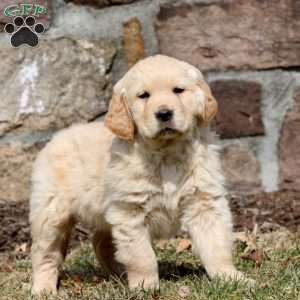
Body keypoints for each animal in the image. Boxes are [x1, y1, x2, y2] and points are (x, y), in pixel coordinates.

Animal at [29, 54, 246, 296]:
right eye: (144, 95)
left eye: (178, 90)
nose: (164, 113)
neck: (166, 153)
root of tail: (56, 137)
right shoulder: (130, 212)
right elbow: (142, 256)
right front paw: (145, 286)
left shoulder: (204, 203)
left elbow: (216, 246)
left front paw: (231, 278)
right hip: (50, 214)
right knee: (45, 254)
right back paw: (44, 289)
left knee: (101, 242)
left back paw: (119, 274)